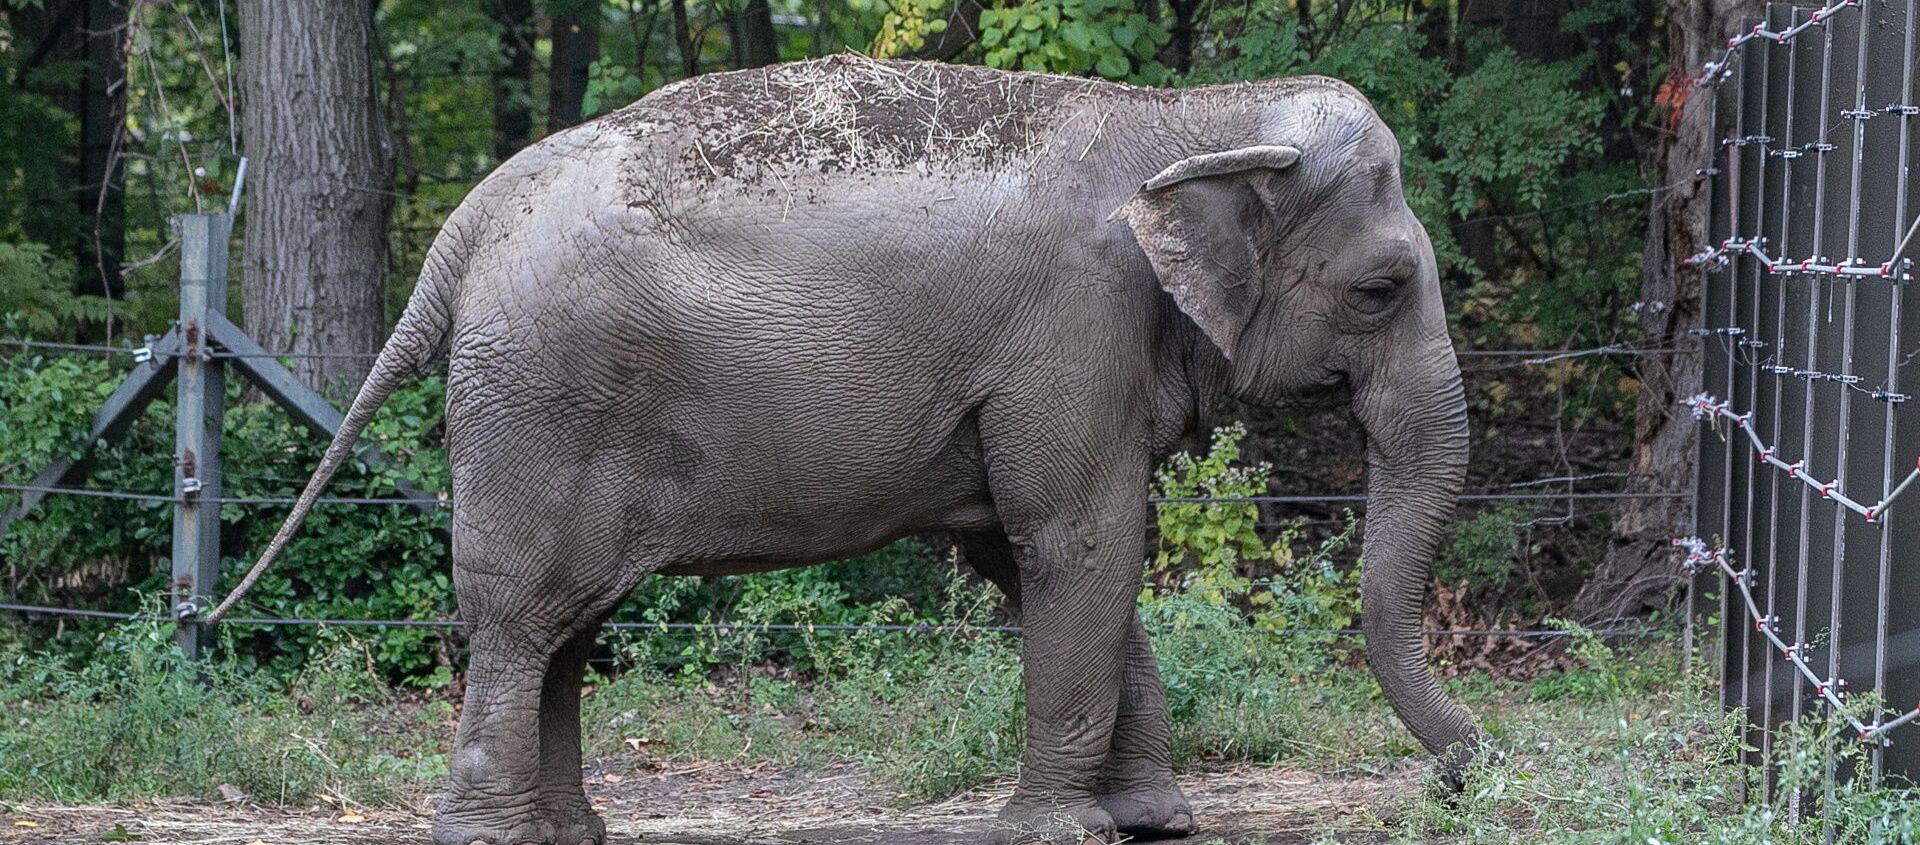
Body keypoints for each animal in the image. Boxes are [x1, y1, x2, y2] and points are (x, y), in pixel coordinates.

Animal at [220, 56, 1482, 841]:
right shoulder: (1073, 329)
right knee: (522, 613)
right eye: (1382, 288)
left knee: (567, 623)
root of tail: (464, 227)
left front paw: (1155, 821)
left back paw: (569, 830)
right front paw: (1064, 828)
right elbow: (1079, 538)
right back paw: (491, 834)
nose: (1465, 770)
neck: (1195, 118)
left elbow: (1041, 552)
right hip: (539, 401)